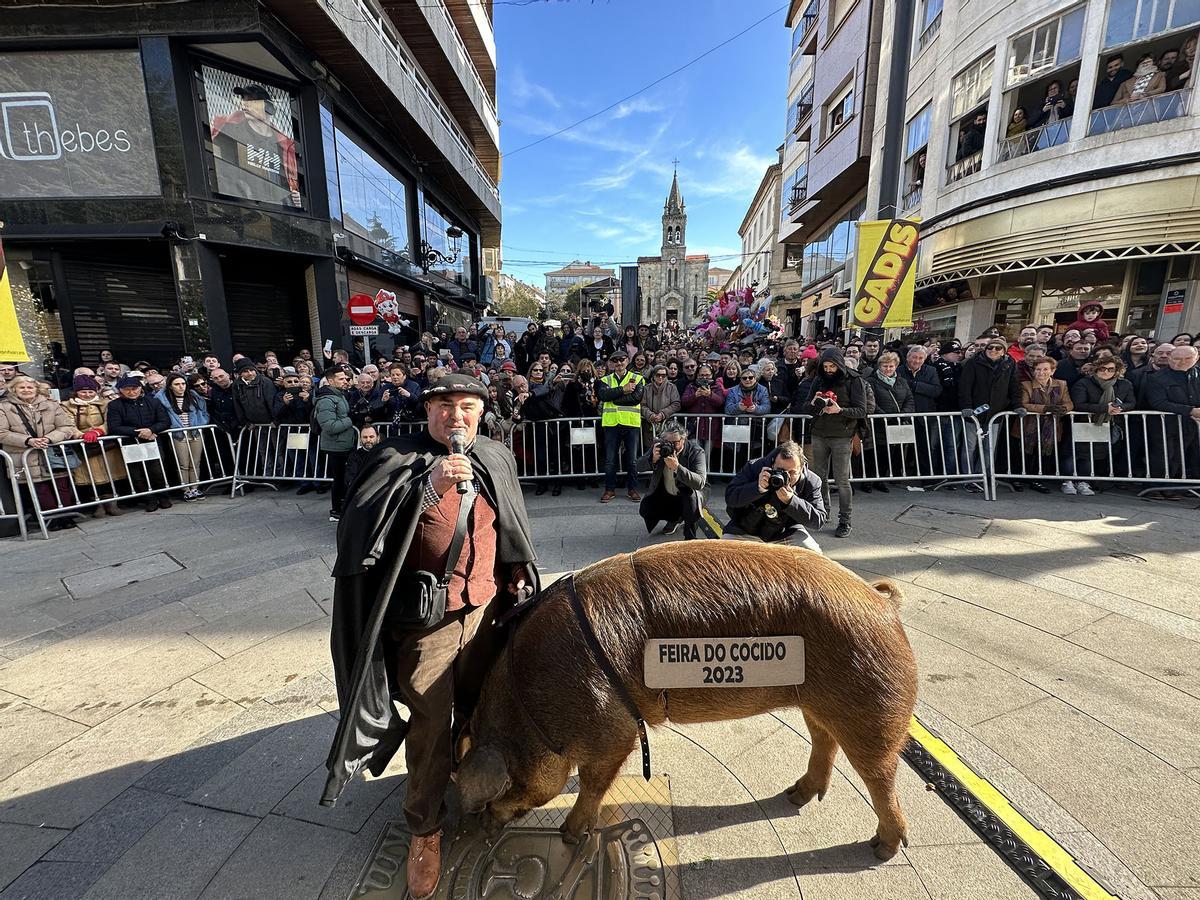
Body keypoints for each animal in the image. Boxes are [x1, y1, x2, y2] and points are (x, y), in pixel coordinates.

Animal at [456, 540, 916, 864]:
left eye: (509, 785)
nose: (477, 827)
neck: (532, 710)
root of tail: (882, 602)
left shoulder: (614, 730)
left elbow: (593, 783)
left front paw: (569, 835)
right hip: (818, 702)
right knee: (824, 740)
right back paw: (795, 796)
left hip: (872, 707)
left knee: (880, 776)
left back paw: (881, 848)